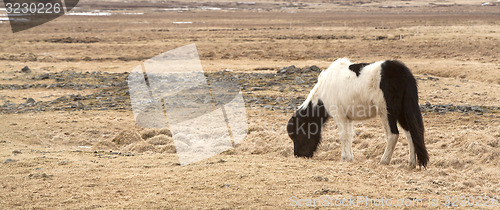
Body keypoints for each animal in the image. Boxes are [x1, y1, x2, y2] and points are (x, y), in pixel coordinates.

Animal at [288, 58, 428, 168]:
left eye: (298, 133)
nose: (299, 155)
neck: (324, 90)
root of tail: (404, 73)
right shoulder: (348, 119)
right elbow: (349, 136)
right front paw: (349, 157)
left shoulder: (340, 117)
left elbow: (343, 136)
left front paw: (344, 158)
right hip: (401, 114)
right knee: (410, 134)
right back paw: (411, 163)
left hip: (387, 113)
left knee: (393, 135)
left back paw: (384, 161)